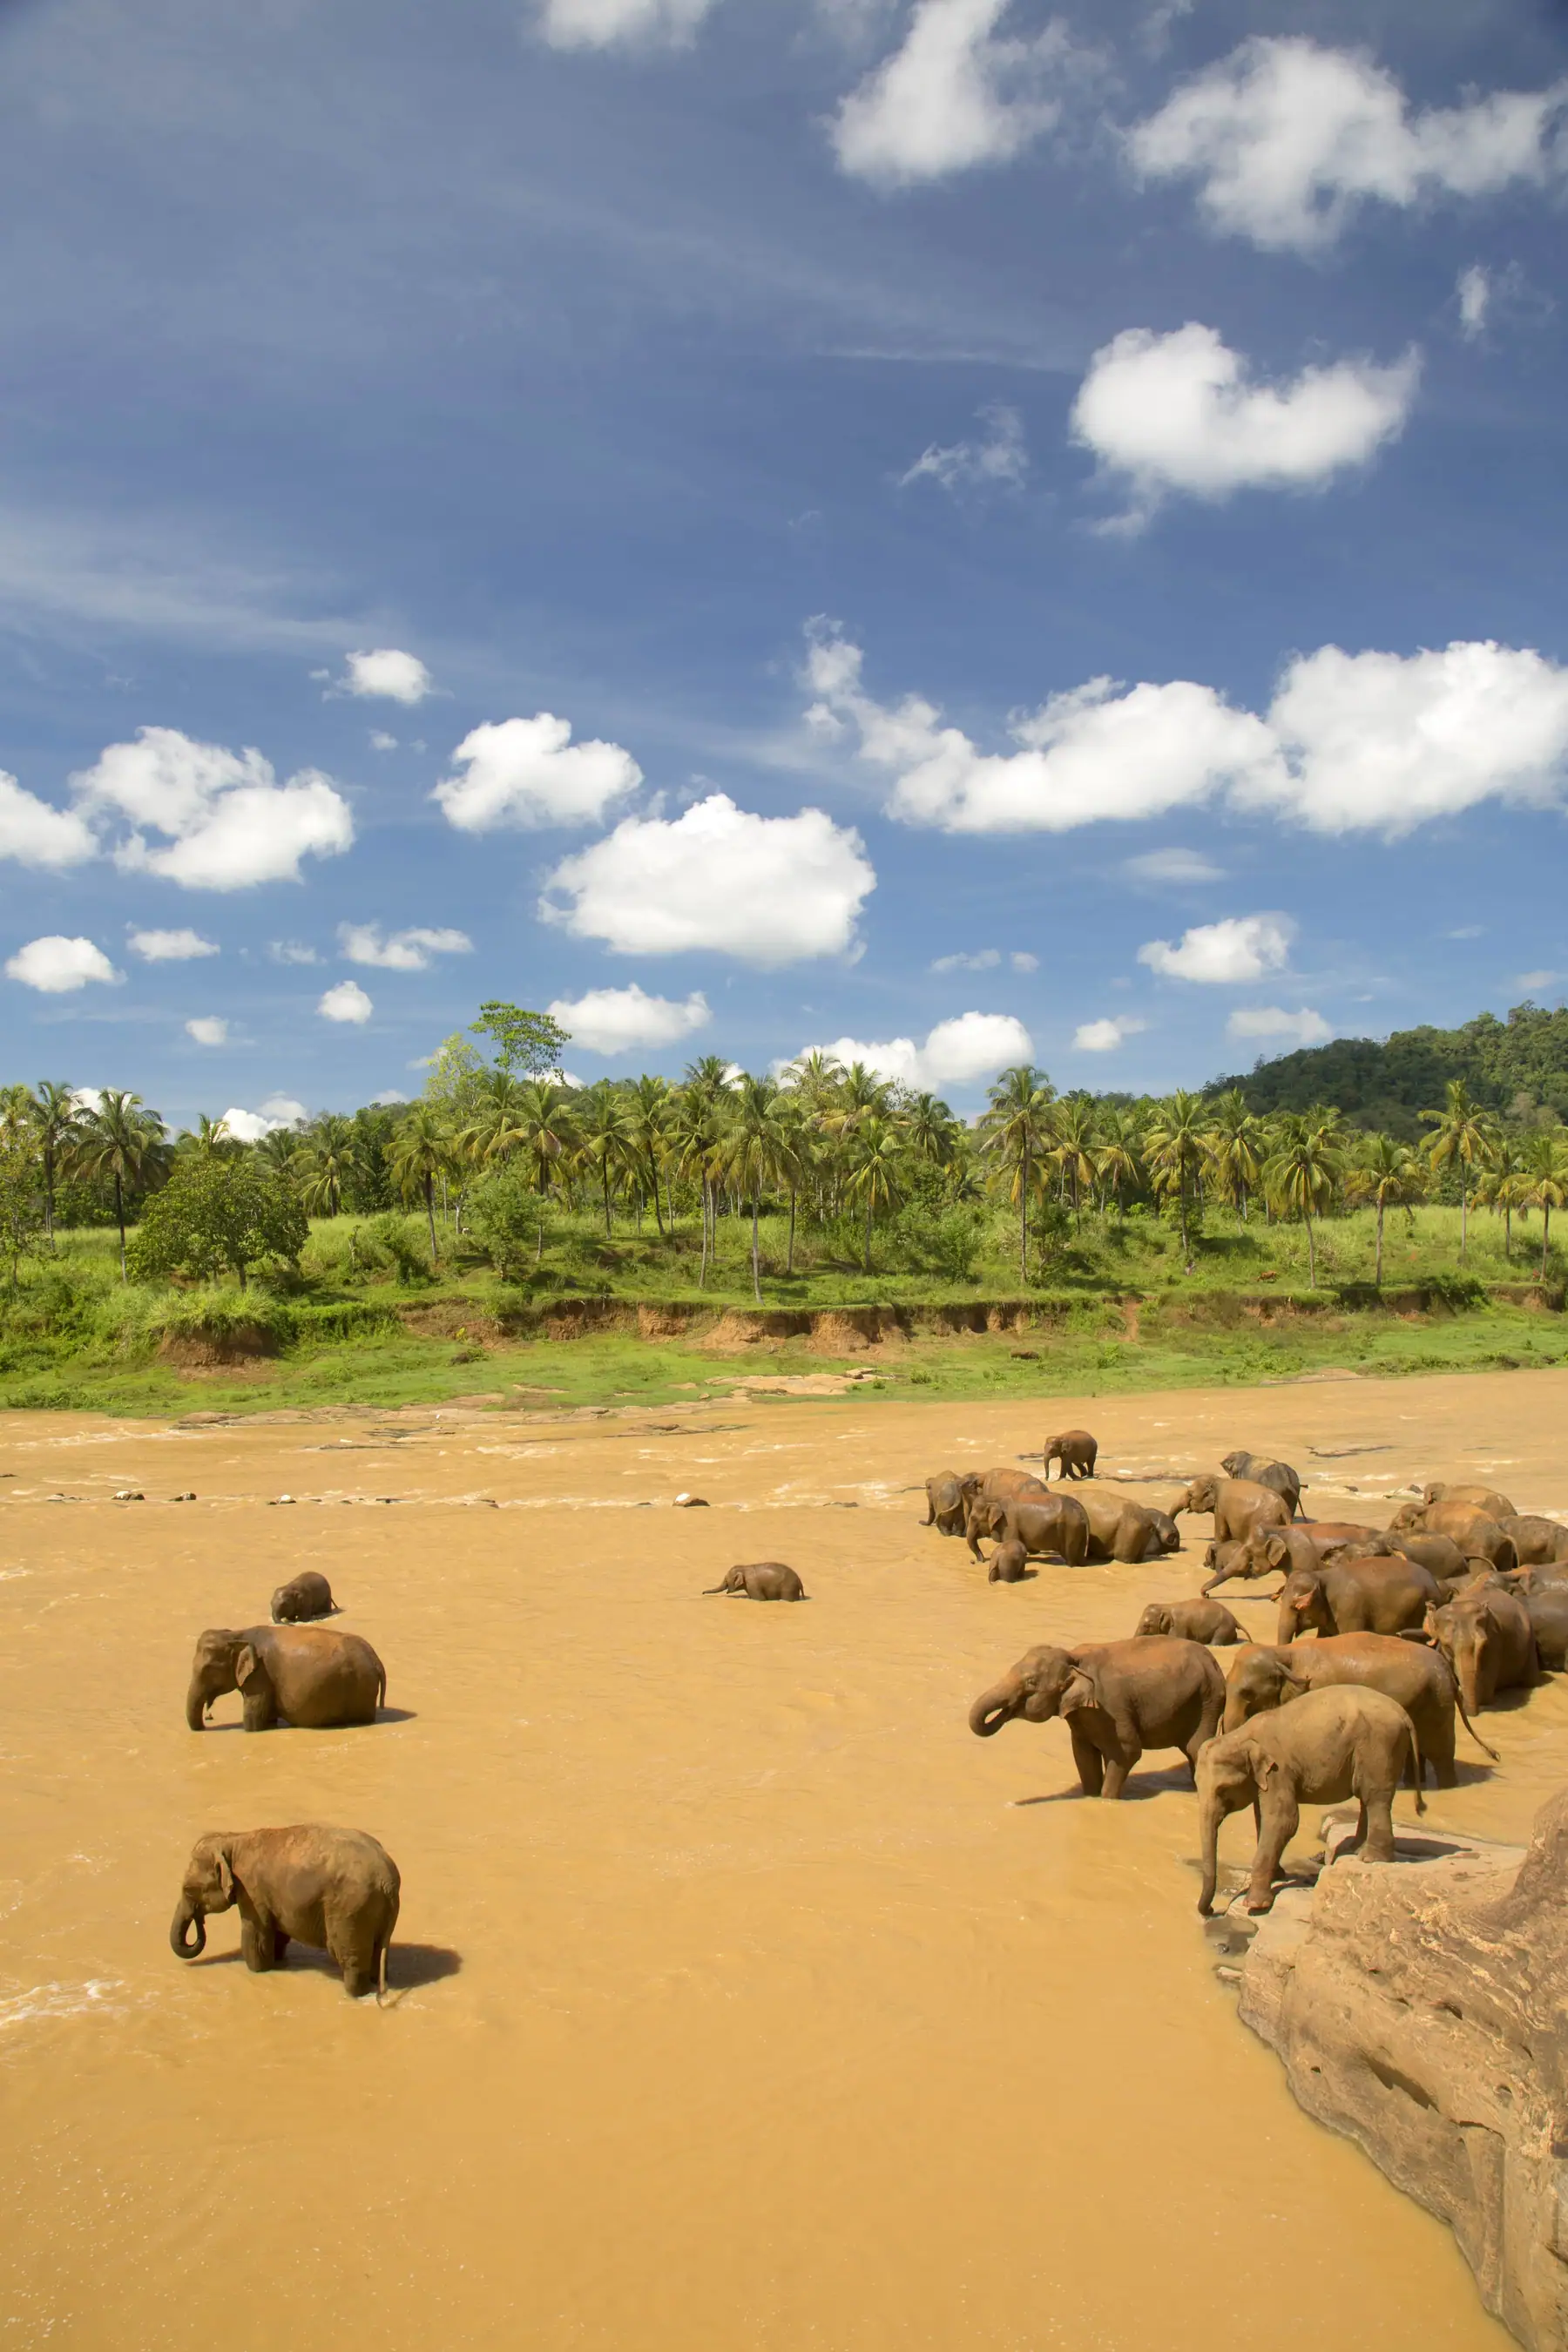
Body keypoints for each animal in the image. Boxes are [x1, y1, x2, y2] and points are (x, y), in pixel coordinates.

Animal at [170, 1825, 400, 2000]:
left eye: (188, 1890)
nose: (200, 1921)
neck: (232, 1840)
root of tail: (386, 1880)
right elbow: (278, 1935)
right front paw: (278, 1961)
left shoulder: (252, 1893)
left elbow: (257, 1939)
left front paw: (258, 1970)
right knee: (377, 1953)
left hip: (349, 1910)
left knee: (349, 1957)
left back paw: (354, 1994)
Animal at [185, 1626, 386, 1732]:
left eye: (208, 1669)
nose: (205, 1724)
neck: (237, 1634)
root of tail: (376, 1659)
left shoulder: (260, 1676)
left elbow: (253, 1720)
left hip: (362, 1689)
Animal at [966, 1492, 1091, 1566]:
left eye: (973, 1518)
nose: (978, 1561)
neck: (996, 1498)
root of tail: (1082, 1509)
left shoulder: (1009, 1523)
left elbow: (1012, 1541)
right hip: (1079, 1530)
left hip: (1071, 1529)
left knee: (1069, 1555)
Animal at [968, 1637, 1225, 1799]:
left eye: (1031, 1683)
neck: (1074, 1657)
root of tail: (1214, 1661)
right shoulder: (1084, 1717)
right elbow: (1083, 1755)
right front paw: (1090, 1795)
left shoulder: (1111, 1708)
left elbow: (1127, 1752)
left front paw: (1106, 1800)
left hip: (1208, 1700)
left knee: (1195, 1747)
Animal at [1196, 1686, 1425, 1915]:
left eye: (1223, 1790)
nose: (1212, 1910)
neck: (1241, 1736)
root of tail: (1403, 1713)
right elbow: (1264, 1818)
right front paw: (1277, 1876)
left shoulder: (1279, 1771)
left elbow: (1284, 1821)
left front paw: (1255, 1905)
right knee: (1366, 1797)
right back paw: (1355, 1849)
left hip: (1379, 1746)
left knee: (1375, 1797)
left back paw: (1370, 1858)